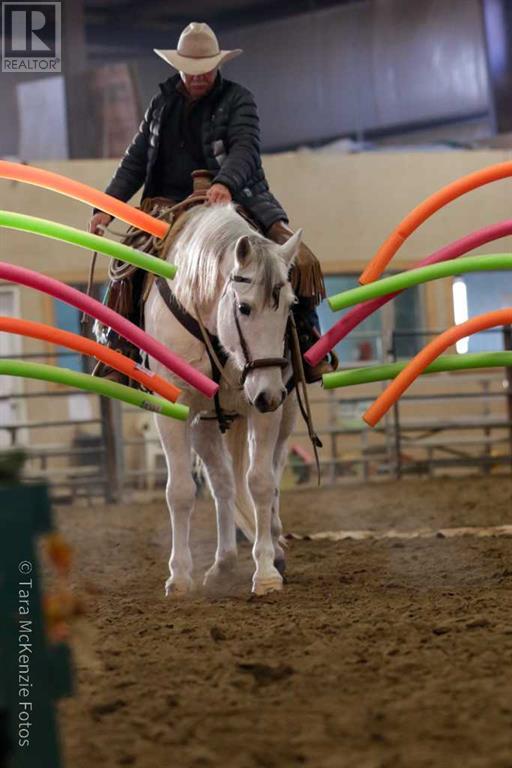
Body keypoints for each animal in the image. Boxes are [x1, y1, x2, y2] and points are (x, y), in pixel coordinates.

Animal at [144, 202, 302, 592]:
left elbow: (261, 483)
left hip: (286, 411)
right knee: (223, 484)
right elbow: (180, 490)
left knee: (273, 471)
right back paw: (223, 563)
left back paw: (272, 539)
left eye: (290, 306)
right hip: (206, 423)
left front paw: (266, 572)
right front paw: (179, 576)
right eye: (244, 308)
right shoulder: (174, 410)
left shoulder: (266, 409)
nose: (268, 394)